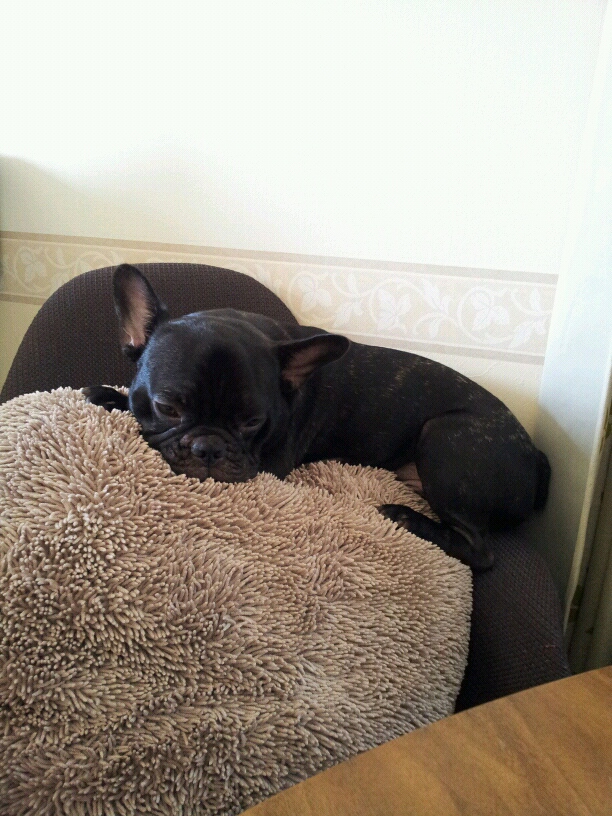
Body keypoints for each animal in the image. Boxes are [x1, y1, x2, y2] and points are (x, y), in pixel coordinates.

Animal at [85, 263, 550, 571]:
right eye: (168, 407)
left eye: (253, 422)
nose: (208, 448)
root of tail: (535, 455)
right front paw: (107, 394)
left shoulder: (270, 462)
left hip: (444, 435)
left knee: (480, 551)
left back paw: (404, 517)